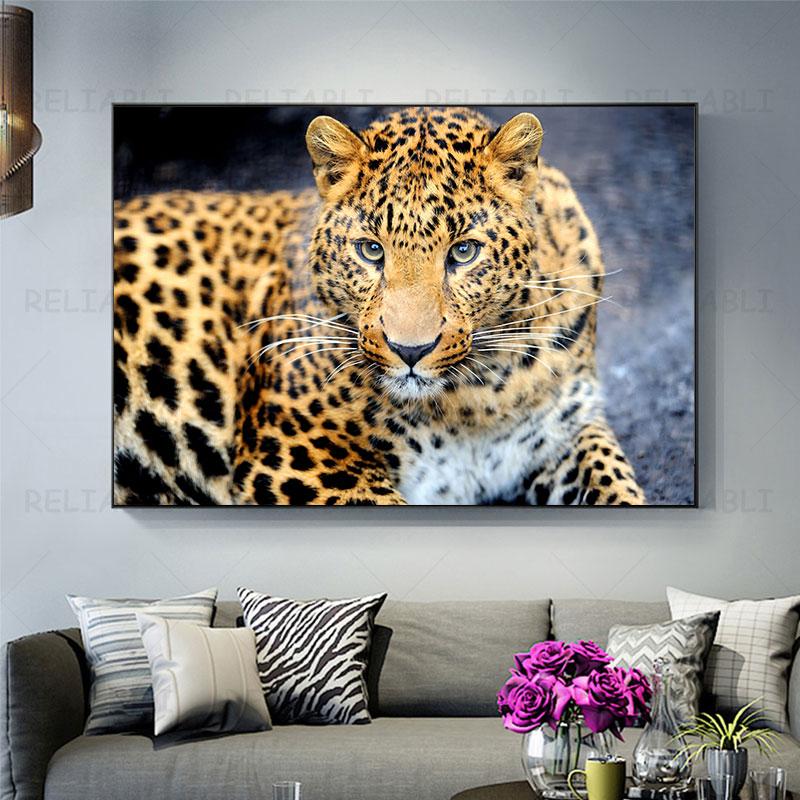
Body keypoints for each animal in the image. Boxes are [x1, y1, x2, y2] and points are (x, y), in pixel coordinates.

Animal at [113, 106, 645, 506]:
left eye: (463, 252)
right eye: (371, 250)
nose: (410, 351)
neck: (476, 399)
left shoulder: (565, 429)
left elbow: (617, 484)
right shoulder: (298, 457)